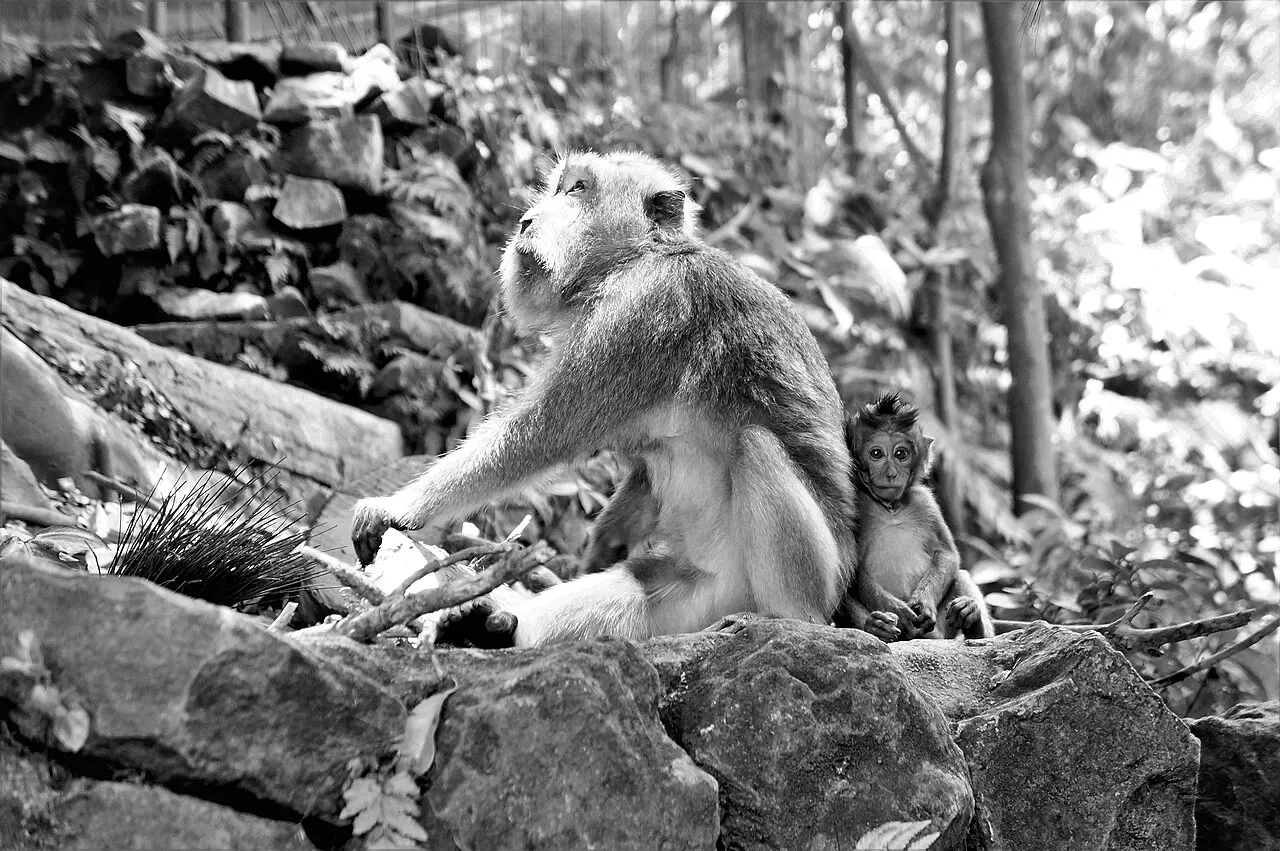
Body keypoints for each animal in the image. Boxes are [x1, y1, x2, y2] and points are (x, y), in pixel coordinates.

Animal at [351, 150, 858, 647]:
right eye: (560, 187)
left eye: (578, 189)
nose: (526, 220)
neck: (639, 257)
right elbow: (640, 473)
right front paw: (599, 547)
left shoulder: (642, 311)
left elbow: (547, 431)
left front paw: (398, 508)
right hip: (699, 598)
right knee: (631, 590)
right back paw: (487, 628)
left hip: (817, 572)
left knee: (757, 446)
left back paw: (788, 620)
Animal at [841, 392, 994, 641]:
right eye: (876, 453)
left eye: (901, 454)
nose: (891, 473)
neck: (890, 508)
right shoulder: (852, 503)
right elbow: (851, 568)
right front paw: (896, 610)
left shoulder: (925, 503)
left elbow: (947, 554)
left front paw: (923, 603)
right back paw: (875, 627)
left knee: (960, 575)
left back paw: (972, 621)